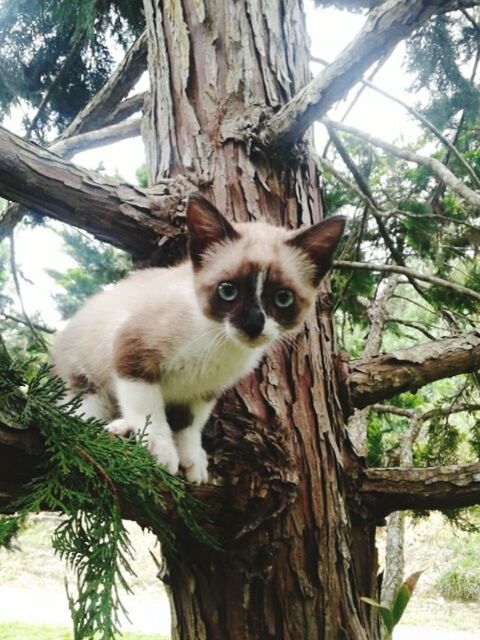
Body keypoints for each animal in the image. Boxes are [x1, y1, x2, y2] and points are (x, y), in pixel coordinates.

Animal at [51, 195, 344, 480]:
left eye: (283, 297)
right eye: (227, 291)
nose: (252, 325)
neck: (217, 341)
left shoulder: (203, 390)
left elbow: (190, 425)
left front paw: (192, 459)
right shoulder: (131, 351)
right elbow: (149, 409)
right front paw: (161, 450)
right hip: (85, 383)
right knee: (81, 415)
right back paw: (118, 427)